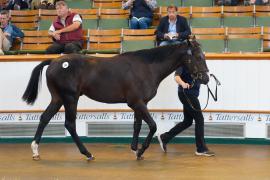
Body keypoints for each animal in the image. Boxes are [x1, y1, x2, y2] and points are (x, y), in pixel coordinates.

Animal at [22, 40, 209, 160]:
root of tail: (54, 61)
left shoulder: (140, 104)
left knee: (45, 118)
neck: (146, 67)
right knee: (69, 124)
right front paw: (141, 151)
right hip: (70, 99)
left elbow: (137, 125)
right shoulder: (137, 103)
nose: (206, 78)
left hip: (58, 99)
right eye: (198, 57)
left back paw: (35, 150)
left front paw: (134, 150)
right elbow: (153, 126)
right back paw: (87, 154)